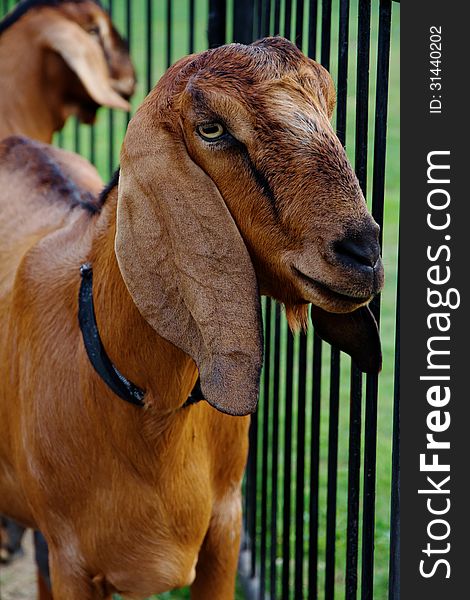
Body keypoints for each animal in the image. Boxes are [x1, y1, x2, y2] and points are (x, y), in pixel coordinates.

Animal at [0, 38, 382, 600]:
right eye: (212, 129)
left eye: (328, 105)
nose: (364, 252)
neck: (155, 411)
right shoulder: (73, 557)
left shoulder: (225, 529)